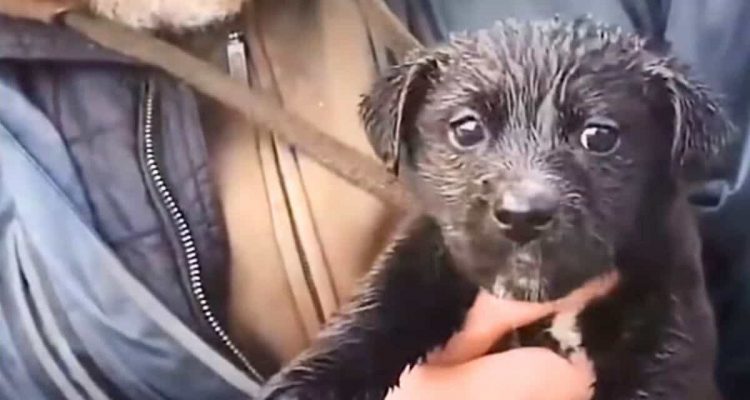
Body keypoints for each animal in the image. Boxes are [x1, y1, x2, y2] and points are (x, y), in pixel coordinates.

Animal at [262, 16, 732, 400]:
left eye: (599, 136)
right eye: (467, 129)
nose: (522, 216)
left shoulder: (668, 324)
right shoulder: (431, 245)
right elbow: (381, 300)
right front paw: (304, 385)